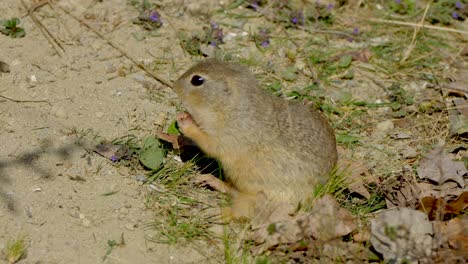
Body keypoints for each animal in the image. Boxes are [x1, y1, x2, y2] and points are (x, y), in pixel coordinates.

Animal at [172, 59, 336, 219]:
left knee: (239, 211)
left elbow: (209, 143)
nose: (174, 84)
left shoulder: (229, 136)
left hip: (257, 196)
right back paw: (210, 180)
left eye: (197, 80)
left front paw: (184, 121)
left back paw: (217, 213)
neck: (233, 108)